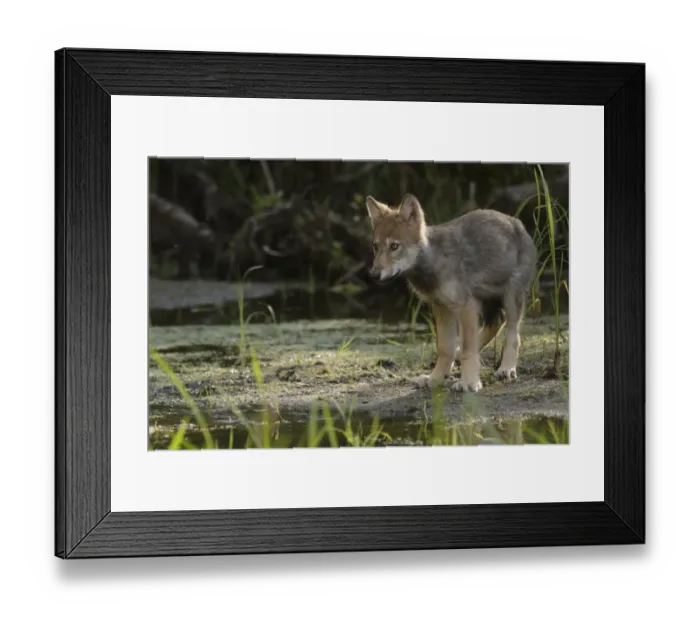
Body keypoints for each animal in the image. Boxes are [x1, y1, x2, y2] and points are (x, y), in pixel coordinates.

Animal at [366, 193, 537, 393]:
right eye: (375, 246)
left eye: (394, 246)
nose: (374, 275)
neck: (434, 263)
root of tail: (516, 222)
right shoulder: (442, 308)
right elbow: (445, 349)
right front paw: (436, 379)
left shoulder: (465, 307)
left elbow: (468, 350)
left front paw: (469, 382)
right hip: (487, 302)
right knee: (494, 324)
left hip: (510, 300)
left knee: (512, 334)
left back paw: (506, 369)